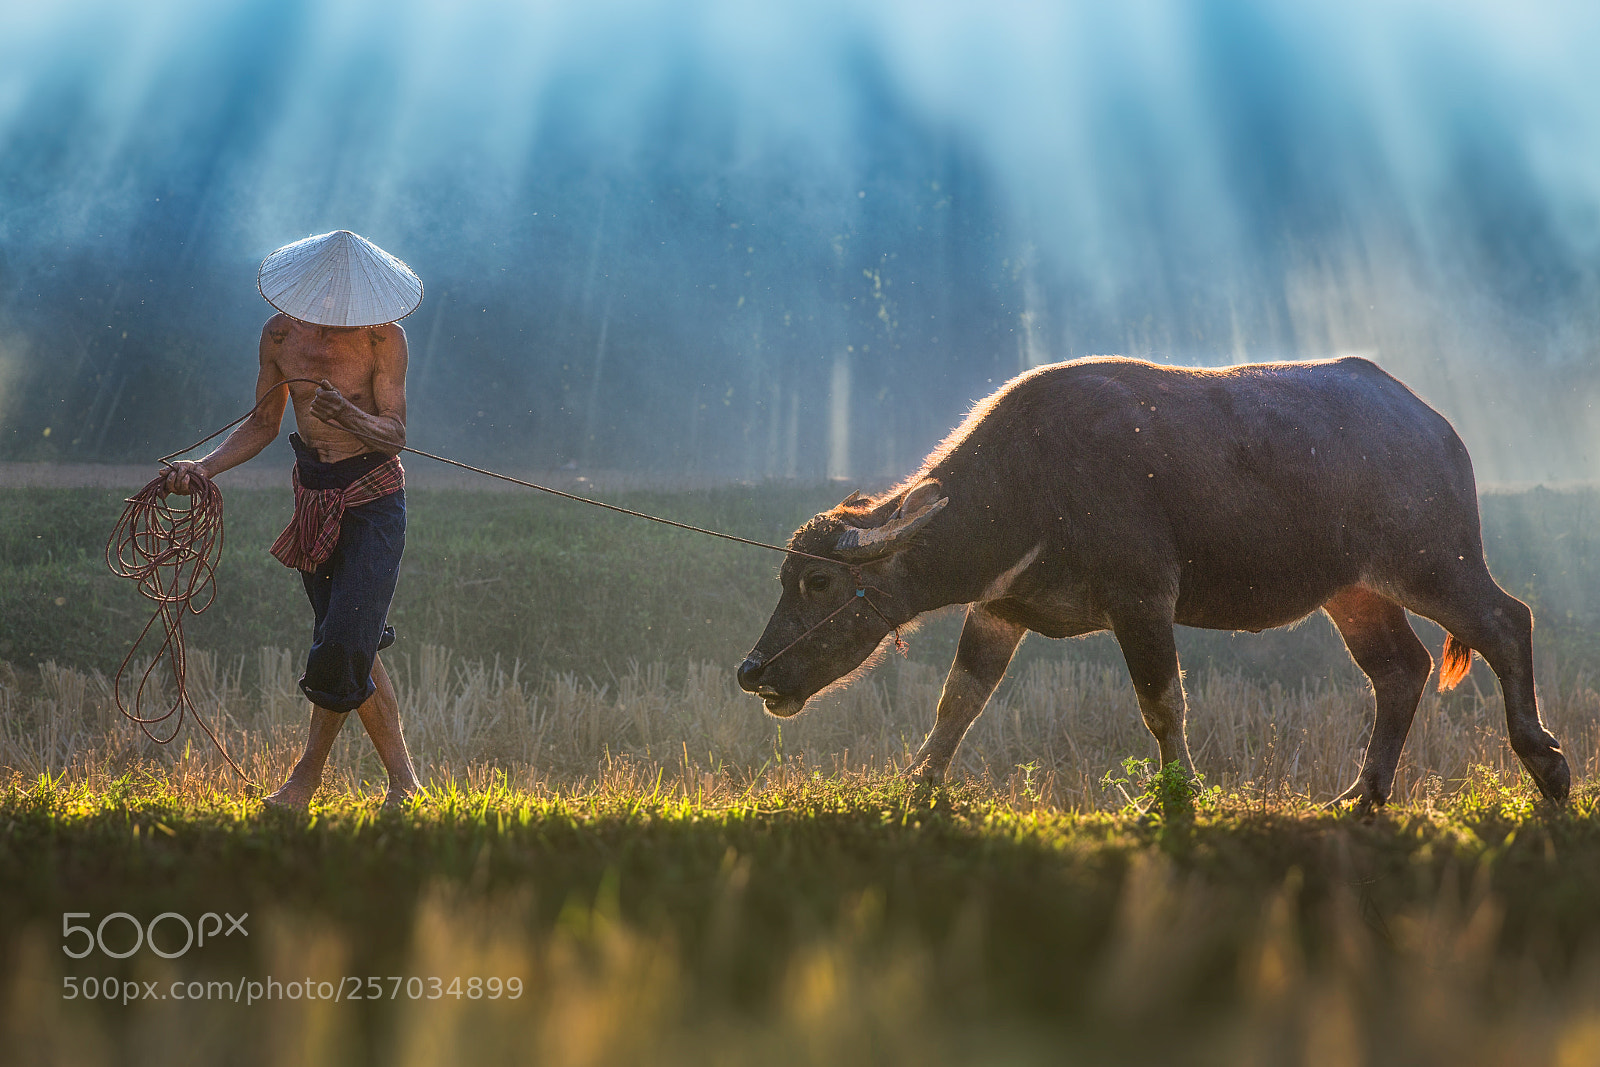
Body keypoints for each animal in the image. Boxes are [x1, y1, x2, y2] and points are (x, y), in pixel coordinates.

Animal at [737, 356, 1570, 808]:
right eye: (785, 574)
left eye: (817, 583)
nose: (752, 671)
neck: (1030, 483)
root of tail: (1438, 429)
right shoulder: (998, 608)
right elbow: (958, 703)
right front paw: (916, 786)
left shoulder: (1142, 599)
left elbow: (1162, 702)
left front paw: (1179, 795)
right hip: (1354, 591)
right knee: (1402, 668)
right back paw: (1359, 795)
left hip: (1434, 561)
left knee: (1507, 620)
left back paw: (1547, 765)